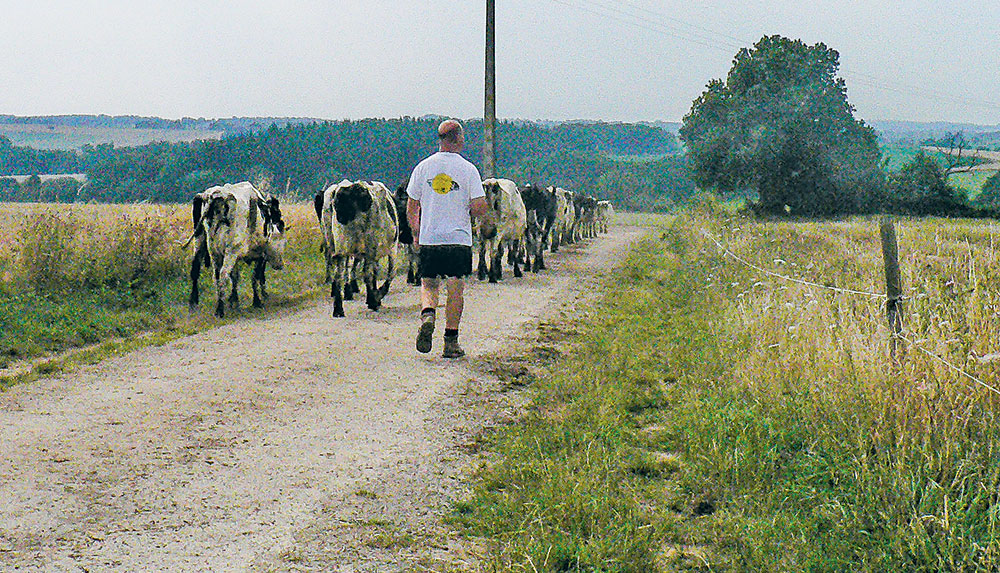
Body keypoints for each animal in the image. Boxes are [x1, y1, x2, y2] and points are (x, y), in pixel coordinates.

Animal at [187, 181, 286, 318]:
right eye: (282, 238)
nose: (280, 264)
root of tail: (215, 195)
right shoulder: (259, 253)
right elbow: (255, 276)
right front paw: (257, 301)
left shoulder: (236, 256)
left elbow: (235, 276)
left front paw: (234, 300)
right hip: (229, 251)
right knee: (223, 275)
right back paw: (220, 310)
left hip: (206, 245)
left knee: (203, 272)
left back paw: (194, 302)